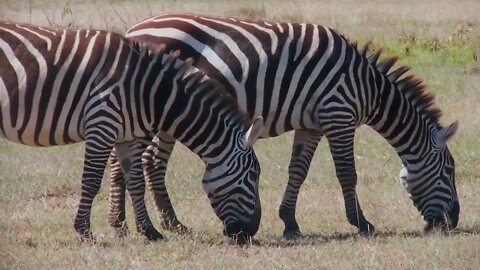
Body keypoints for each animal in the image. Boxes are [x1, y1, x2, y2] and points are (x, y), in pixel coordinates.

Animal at [0, 20, 262, 240]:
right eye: (252, 176)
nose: (250, 233)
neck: (151, 92)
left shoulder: (127, 136)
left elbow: (136, 181)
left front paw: (149, 231)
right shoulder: (102, 124)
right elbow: (92, 181)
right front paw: (84, 232)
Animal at [112, 13, 462, 236]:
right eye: (449, 171)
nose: (453, 222)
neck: (367, 87)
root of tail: (133, 31)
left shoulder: (312, 124)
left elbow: (298, 171)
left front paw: (289, 223)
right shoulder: (339, 114)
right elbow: (347, 173)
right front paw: (361, 223)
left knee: (148, 161)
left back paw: (163, 224)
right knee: (127, 162)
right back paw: (129, 224)